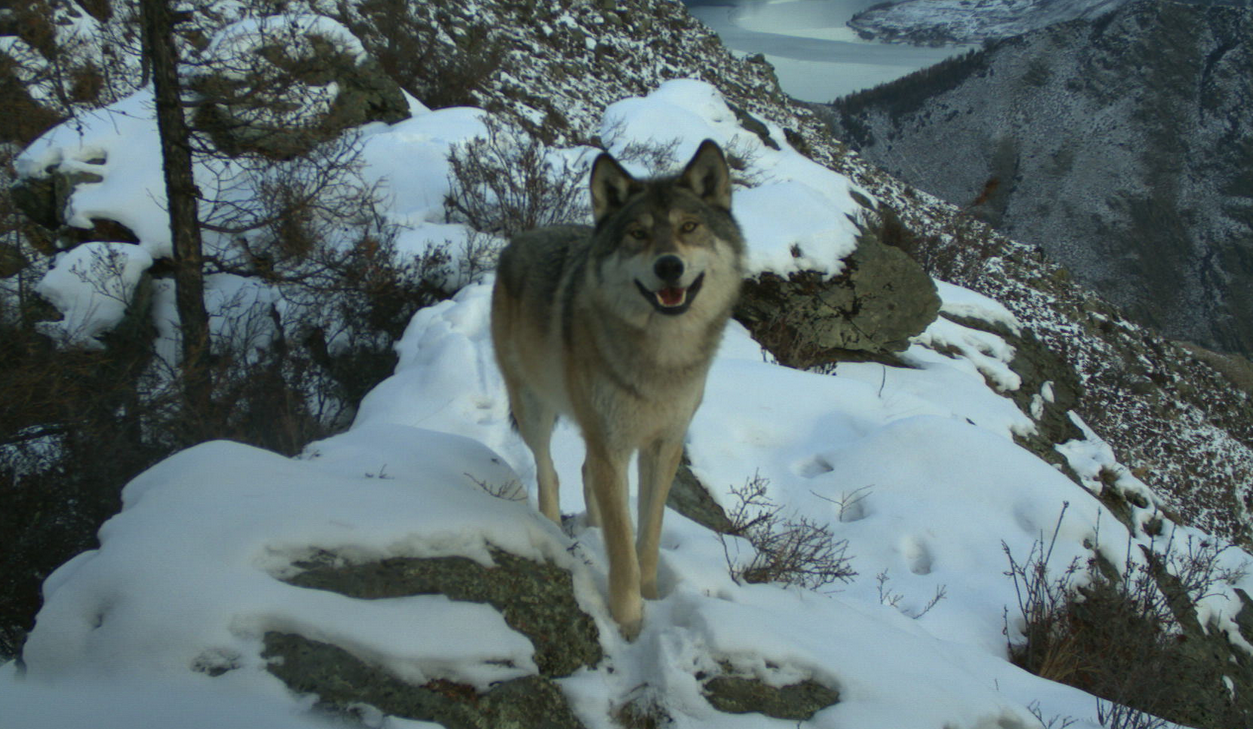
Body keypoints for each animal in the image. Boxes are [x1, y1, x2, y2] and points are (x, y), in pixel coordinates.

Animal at [488, 140, 741, 636]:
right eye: (638, 234)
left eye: (689, 227)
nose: (669, 265)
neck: (662, 359)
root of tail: (521, 238)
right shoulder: (613, 445)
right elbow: (623, 547)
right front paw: (629, 622)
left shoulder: (664, 446)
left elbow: (648, 533)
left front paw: (652, 596)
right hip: (534, 409)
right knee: (549, 470)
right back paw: (552, 528)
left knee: (584, 471)